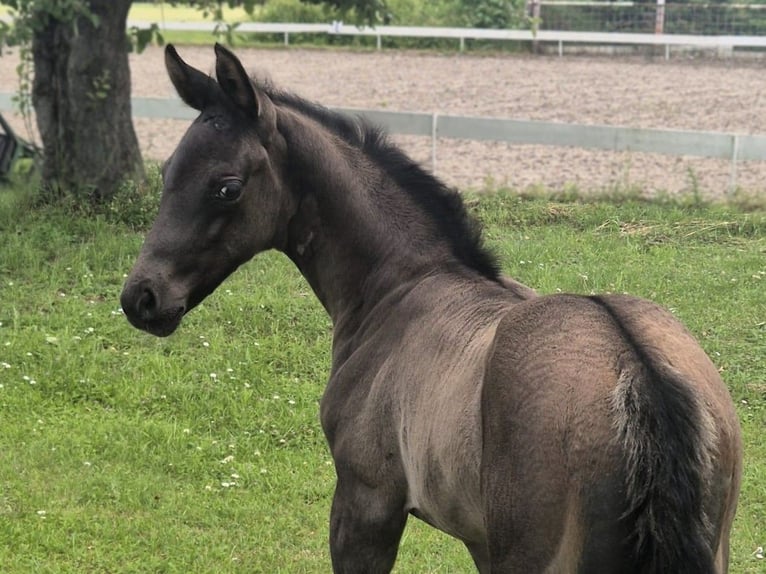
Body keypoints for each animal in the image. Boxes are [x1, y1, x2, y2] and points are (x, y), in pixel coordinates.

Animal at [120, 44, 742, 573]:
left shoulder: (365, 503)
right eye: (168, 170)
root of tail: (640, 376)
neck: (398, 288)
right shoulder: (478, 539)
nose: (141, 297)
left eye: (227, 187)